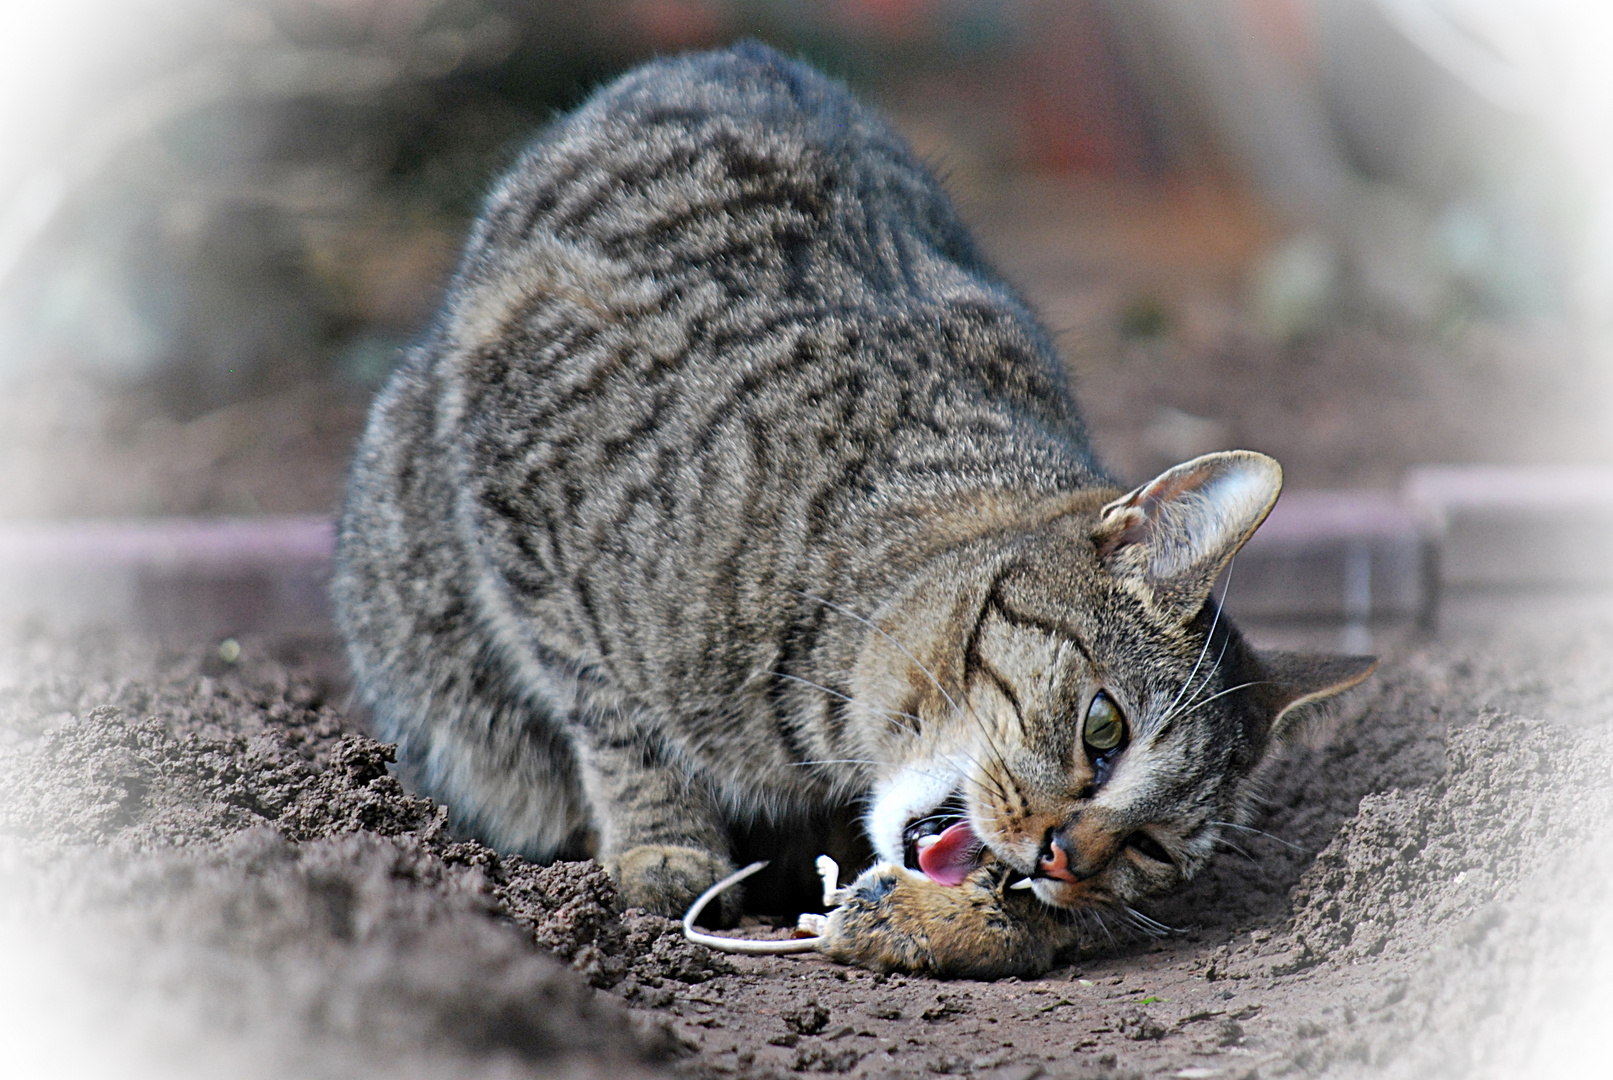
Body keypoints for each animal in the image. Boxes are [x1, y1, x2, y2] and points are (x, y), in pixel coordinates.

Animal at [330, 44, 1374, 980]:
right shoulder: (521, 488)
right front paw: (662, 844)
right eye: (1104, 730)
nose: (1062, 858)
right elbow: (612, 712)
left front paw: (962, 922)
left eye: (1149, 849)